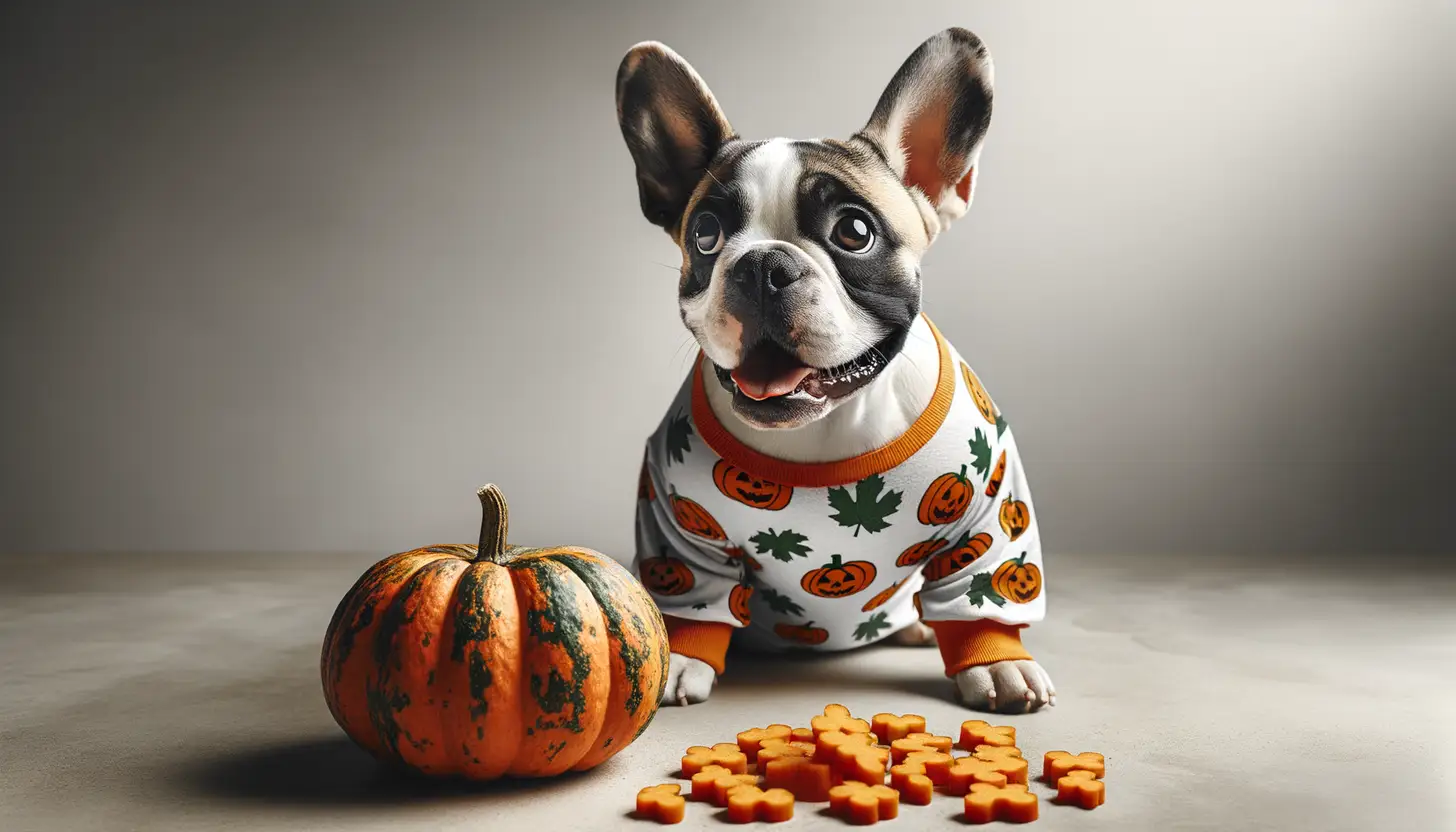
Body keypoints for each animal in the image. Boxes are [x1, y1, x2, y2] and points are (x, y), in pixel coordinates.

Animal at [620, 27, 1054, 716]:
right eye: (705, 235)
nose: (762, 266)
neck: (823, 429)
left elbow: (984, 585)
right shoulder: (677, 529)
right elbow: (691, 595)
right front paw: (684, 654)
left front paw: (998, 661)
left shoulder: (991, 511)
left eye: (854, 232)